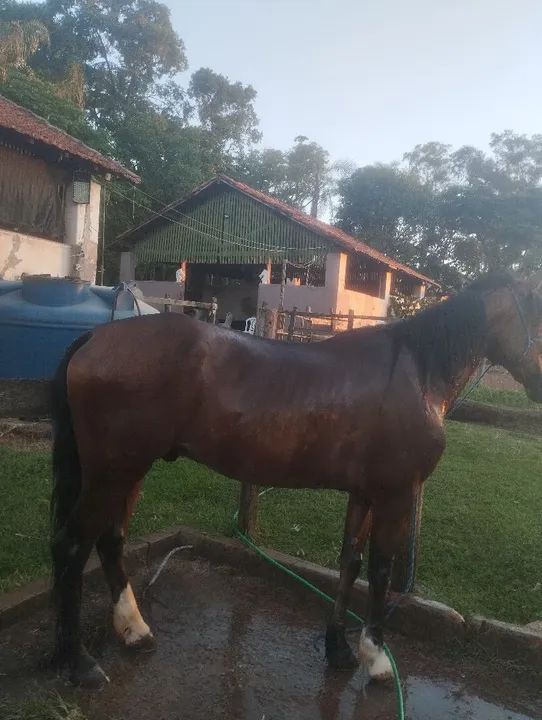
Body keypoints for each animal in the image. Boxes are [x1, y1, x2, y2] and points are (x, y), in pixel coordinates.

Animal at [50, 271, 542, 688]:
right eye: (536, 308)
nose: (539, 383)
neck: (417, 372)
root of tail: (97, 337)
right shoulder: (396, 496)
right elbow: (381, 570)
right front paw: (377, 659)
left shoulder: (364, 495)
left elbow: (351, 563)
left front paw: (339, 649)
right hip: (112, 471)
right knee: (74, 544)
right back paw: (79, 663)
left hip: (129, 470)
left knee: (110, 540)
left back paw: (134, 631)